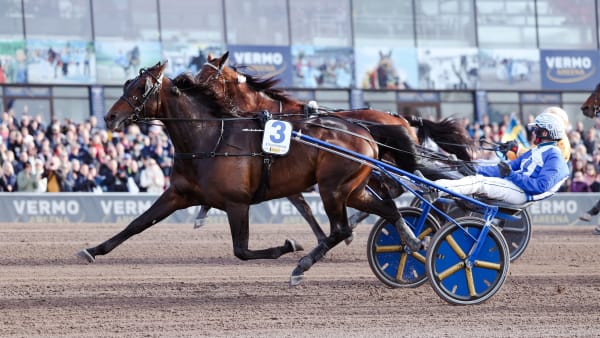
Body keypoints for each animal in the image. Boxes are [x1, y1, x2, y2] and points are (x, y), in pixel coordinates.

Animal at [76, 61, 426, 286]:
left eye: (141, 87)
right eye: (127, 84)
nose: (110, 117)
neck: (210, 137)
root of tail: (365, 129)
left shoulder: (237, 203)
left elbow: (242, 251)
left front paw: (288, 246)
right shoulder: (178, 194)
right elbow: (136, 224)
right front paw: (91, 250)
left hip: (334, 189)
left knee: (340, 228)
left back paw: (303, 264)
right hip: (353, 189)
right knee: (387, 208)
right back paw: (410, 240)